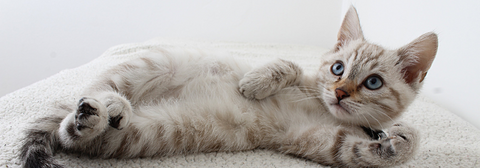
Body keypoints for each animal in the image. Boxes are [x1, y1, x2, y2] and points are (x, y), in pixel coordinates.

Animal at [20, 5, 436, 167]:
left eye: (373, 82)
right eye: (337, 68)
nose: (339, 93)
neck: (321, 109)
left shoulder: (318, 142)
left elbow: (360, 150)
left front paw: (399, 139)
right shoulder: (305, 80)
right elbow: (287, 67)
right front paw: (254, 83)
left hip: (140, 135)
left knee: (73, 133)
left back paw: (96, 117)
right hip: (148, 65)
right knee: (95, 89)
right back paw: (109, 103)